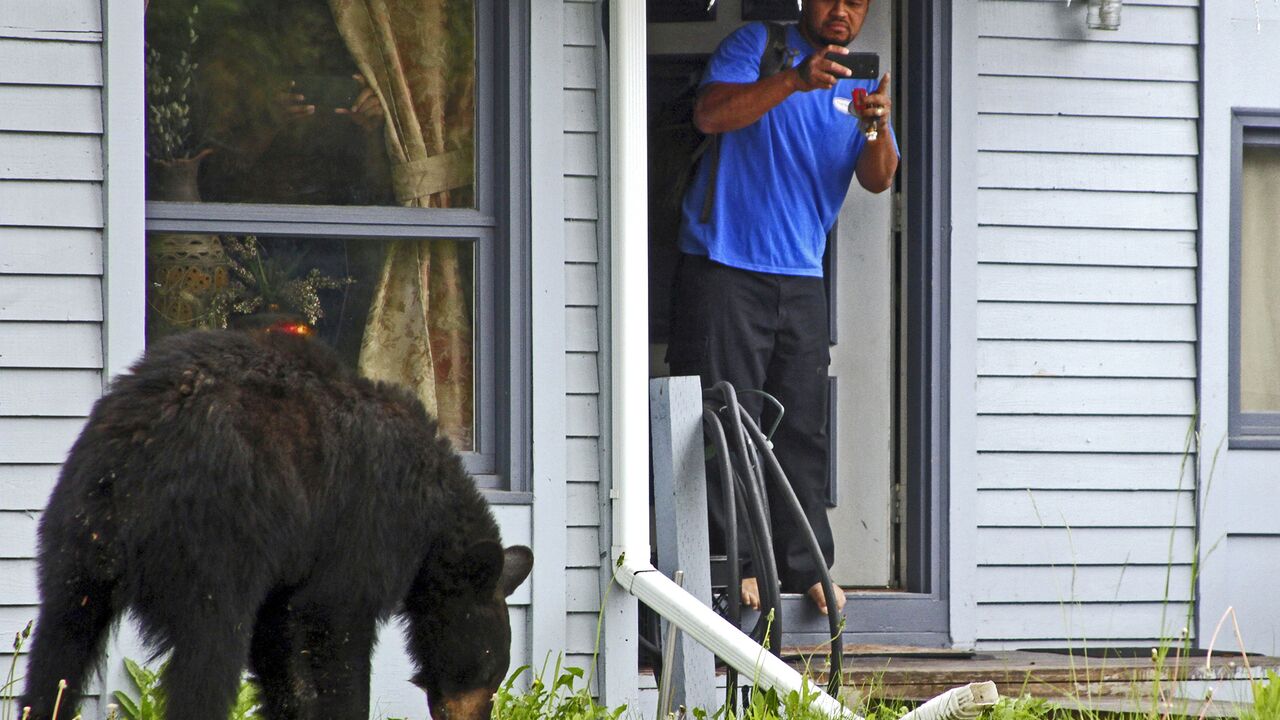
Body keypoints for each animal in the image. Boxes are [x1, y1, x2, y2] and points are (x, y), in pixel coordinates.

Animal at [21, 327, 529, 717]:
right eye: (490, 670)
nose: (480, 715)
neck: (431, 519)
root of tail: (133, 460)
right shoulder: (365, 533)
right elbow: (336, 626)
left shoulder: (284, 575)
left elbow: (281, 656)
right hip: (214, 544)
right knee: (207, 663)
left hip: (75, 533)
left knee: (57, 650)